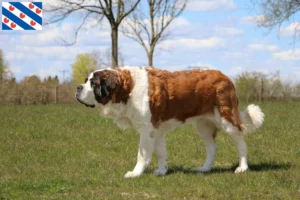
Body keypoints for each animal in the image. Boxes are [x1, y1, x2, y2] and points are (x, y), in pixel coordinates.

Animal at [76, 66, 264, 178]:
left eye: (93, 84)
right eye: (86, 81)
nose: (78, 88)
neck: (127, 89)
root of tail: (225, 77)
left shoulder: (147, 130)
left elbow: (142, 154)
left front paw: (135, 173)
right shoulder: (156, 129)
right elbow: (160, 152)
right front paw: (161, 170)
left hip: (227, 119)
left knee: (241, 144)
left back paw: (242, 167)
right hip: (203, 125)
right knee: (212, 148)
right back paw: (204, 169)